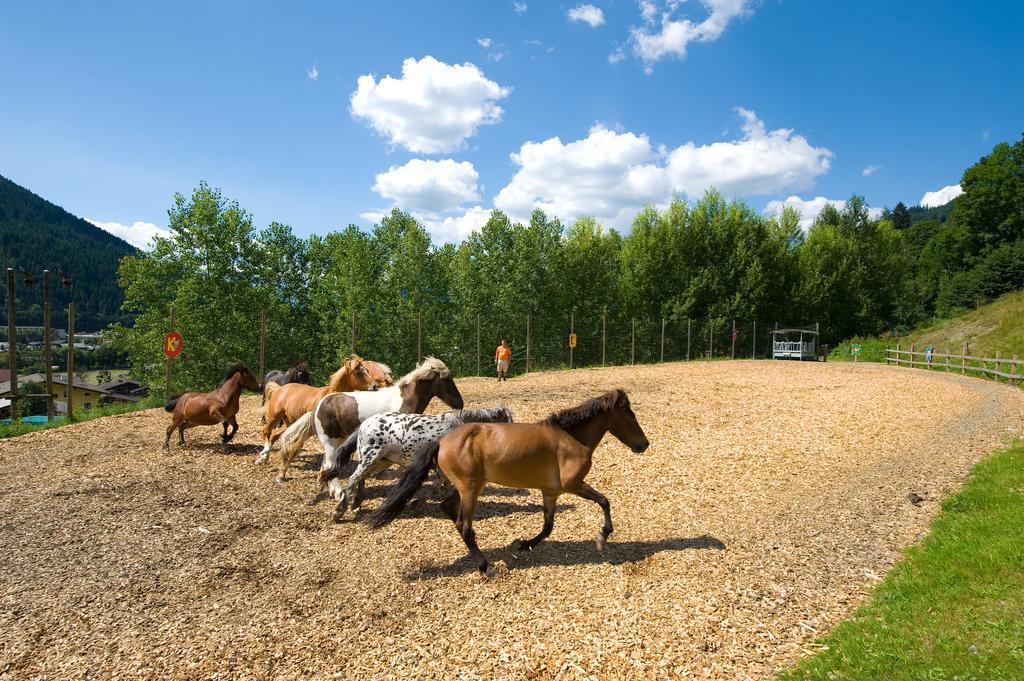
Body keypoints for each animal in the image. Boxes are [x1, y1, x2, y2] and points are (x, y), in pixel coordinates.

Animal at [254, 352, 382, 464]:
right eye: (358, 372)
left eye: (367, 370)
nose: (375, 386)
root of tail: (280, 389)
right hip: (274, 417)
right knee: (266, 431)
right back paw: (263, 456)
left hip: (289, 422)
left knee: (275, 436)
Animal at [325, 403, 516, 520]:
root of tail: (364, 424)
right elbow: (436, 487)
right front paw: (417, 504)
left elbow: (444, 487)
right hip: (370, 457)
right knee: (353, 478)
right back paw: (339, 511)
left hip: (381, 460)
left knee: (361, 478)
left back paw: (356, 502)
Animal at [364, 387, 647, 573]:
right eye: (630, 414)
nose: (644, 444)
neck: (572, 437)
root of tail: (442, 441)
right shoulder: (573, 485)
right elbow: (604, 501)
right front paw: (602, 536)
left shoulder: (551, 492)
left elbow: (548, 527)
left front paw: (523, 544)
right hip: (471, 489)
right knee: (463, 525)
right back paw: (486, 567)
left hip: (467, 486)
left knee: (449, 510)